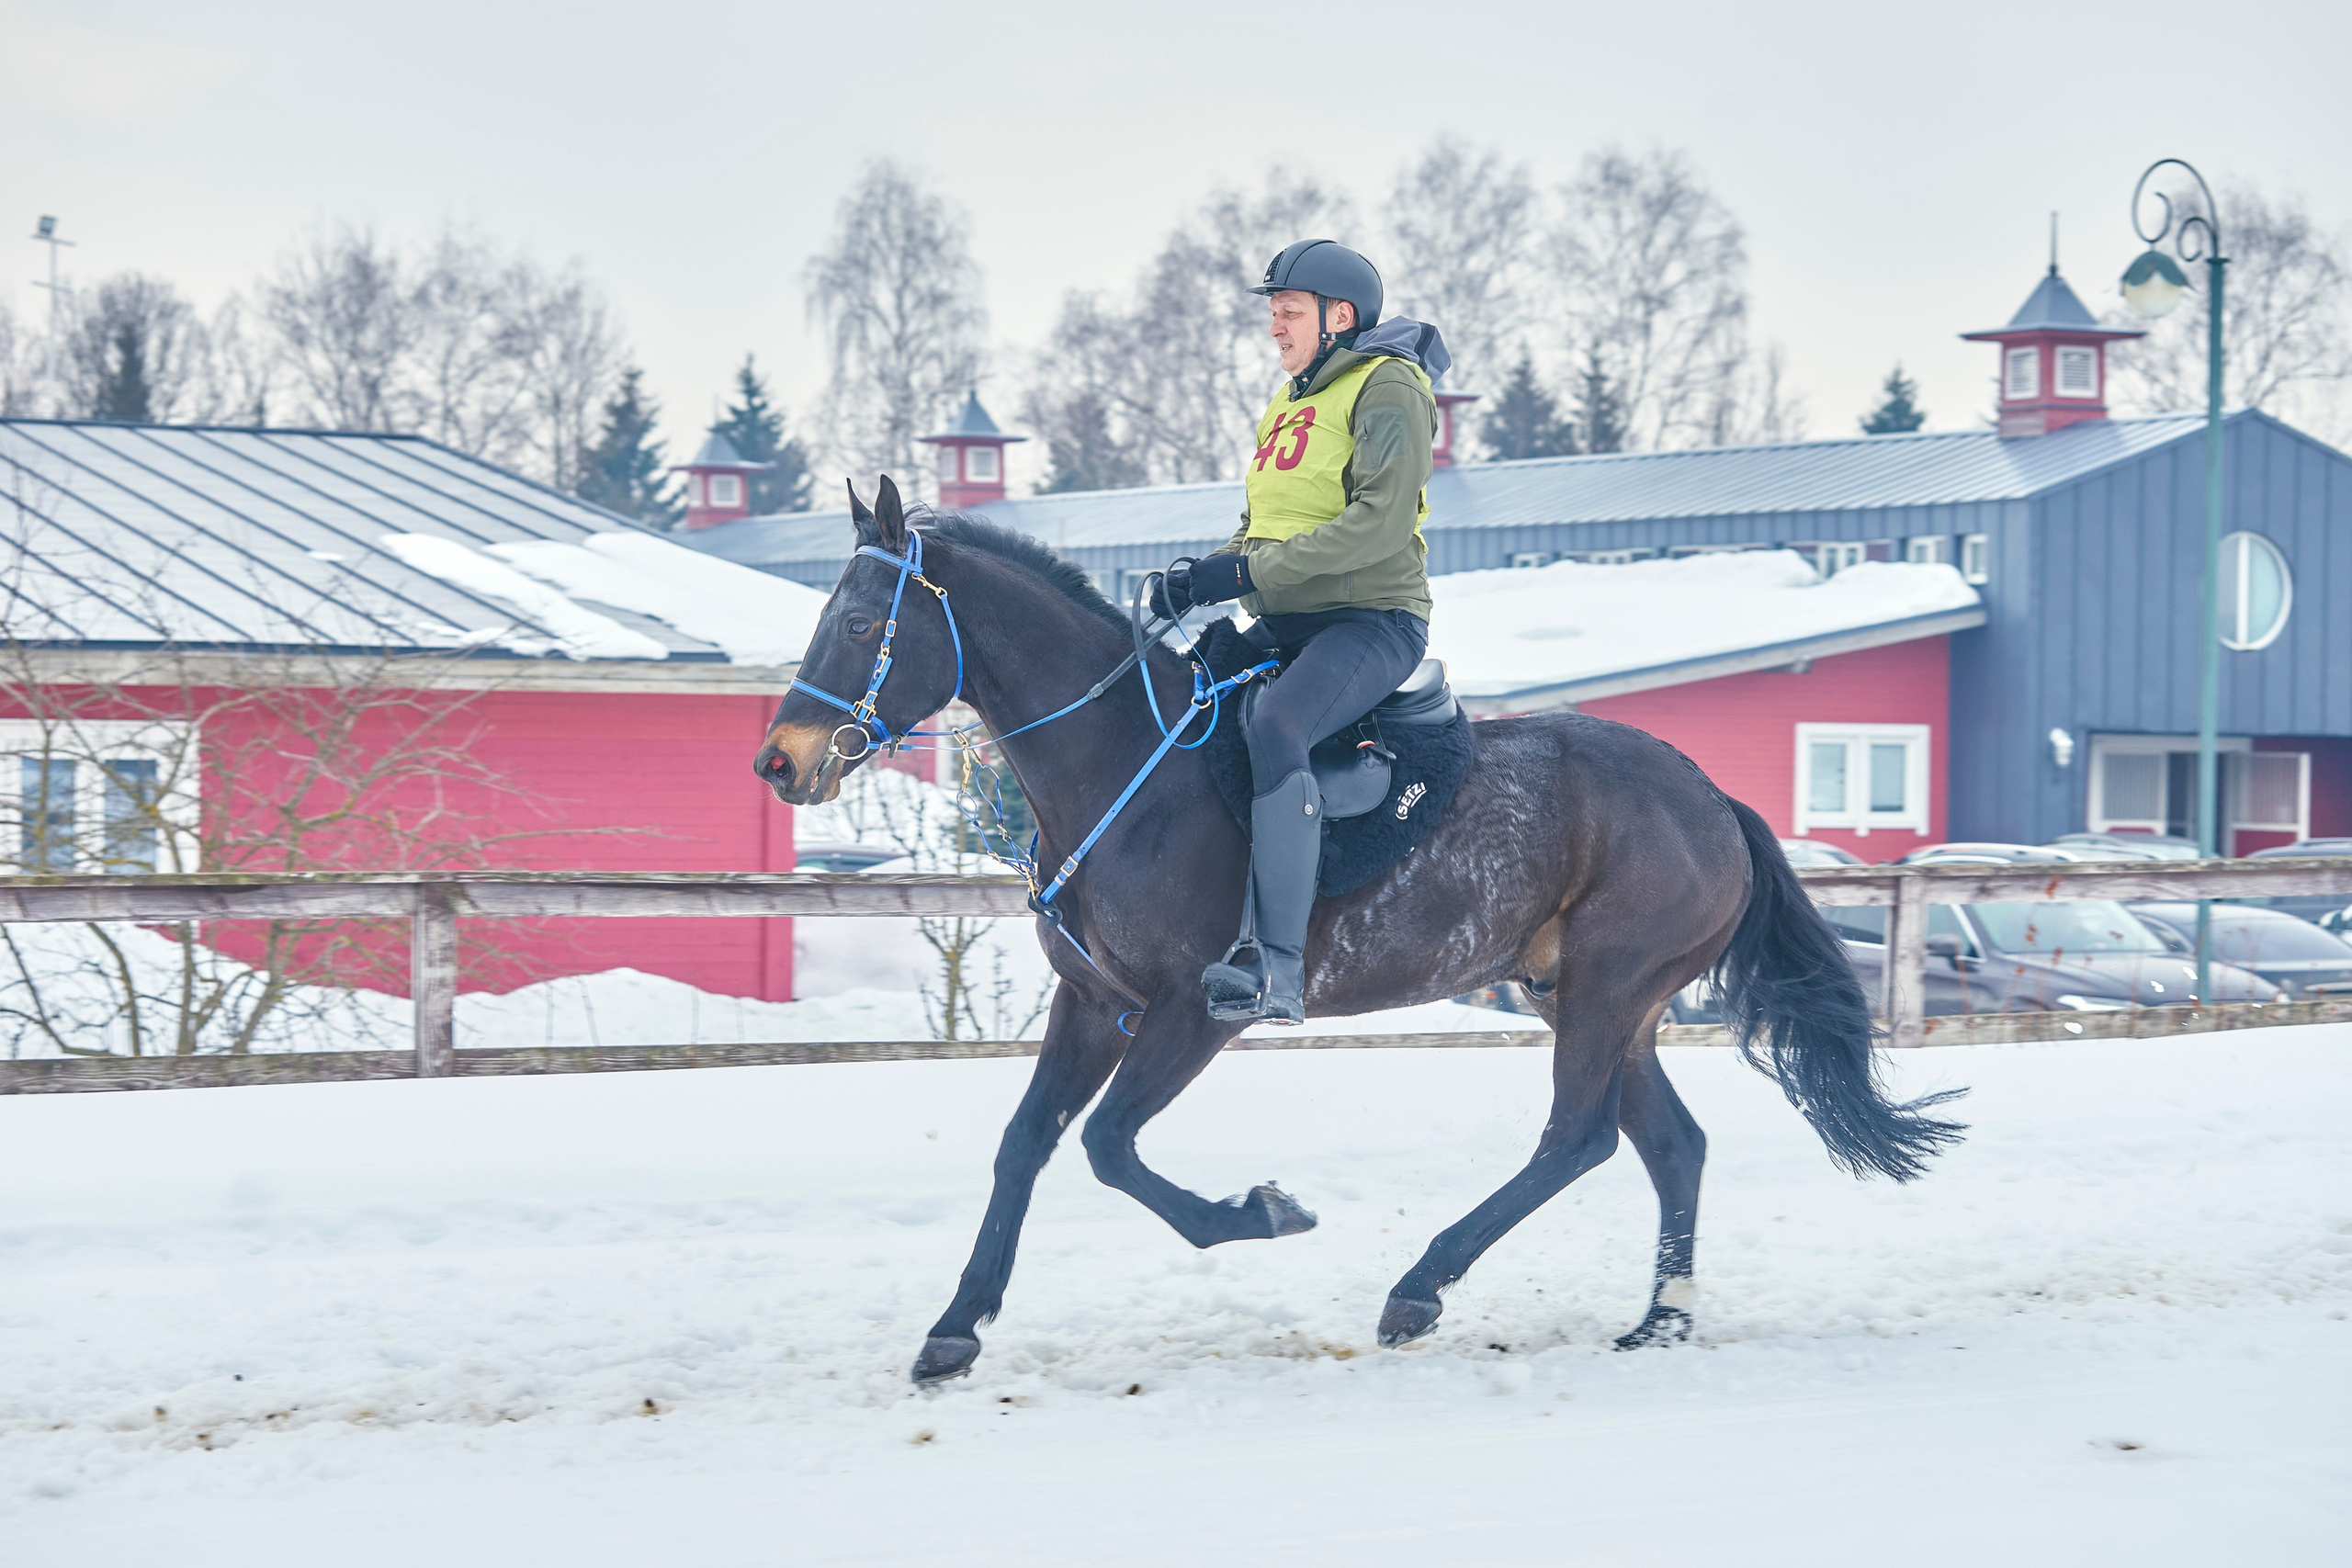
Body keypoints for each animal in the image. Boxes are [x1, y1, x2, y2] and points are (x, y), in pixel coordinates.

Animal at [755, 477, 1965, 1386]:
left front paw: (1262, 1212)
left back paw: (1419, 1289)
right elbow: (1026, 1144)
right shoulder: (1091, 1002)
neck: (1125, 767)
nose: (779, 762)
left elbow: (1108, 1147)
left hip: (1611, 987)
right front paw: (954, 1328)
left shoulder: (1196, 1013)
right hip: (1587, 997)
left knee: (1576, 1140)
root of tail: (1713, 798)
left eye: (860, 624)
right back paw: (1659, 1318)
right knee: (1670, 1144)